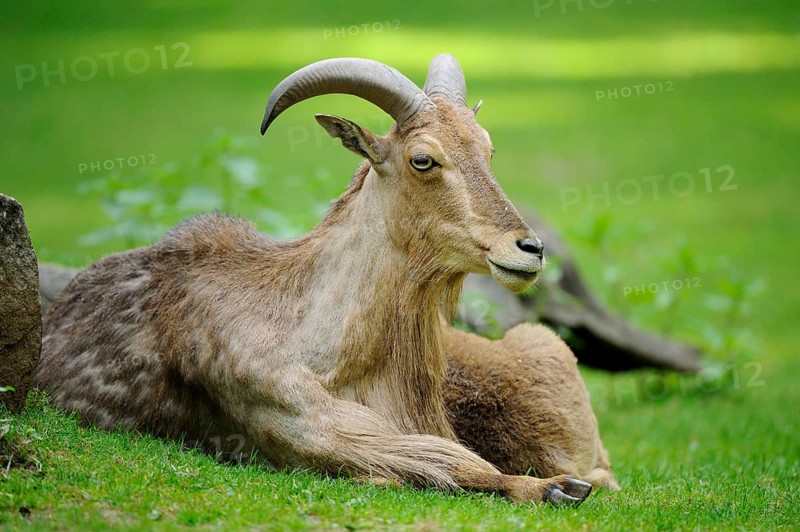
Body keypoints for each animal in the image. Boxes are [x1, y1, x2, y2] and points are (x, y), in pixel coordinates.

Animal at [36, 54, 594, 506]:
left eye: (488, 150)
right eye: (423, 159)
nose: (530, 249)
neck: (318, 338)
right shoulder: (307, 422)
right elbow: (448, 461)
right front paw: (554, 487)